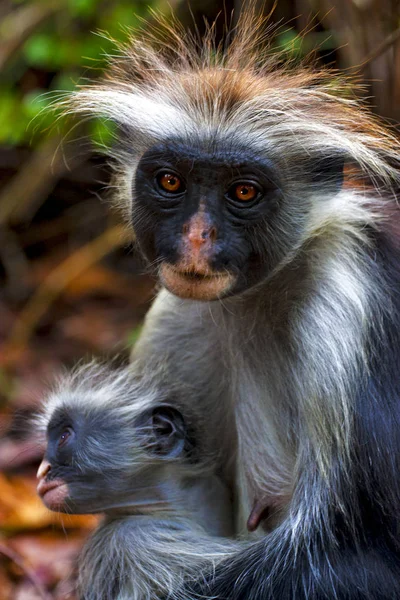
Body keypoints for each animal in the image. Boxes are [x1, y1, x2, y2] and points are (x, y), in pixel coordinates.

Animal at [69, 8, 400, 600]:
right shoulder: (177, 318)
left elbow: (351, 558)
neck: (259, 298)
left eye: (243, 192)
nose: (197, 239)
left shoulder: (347, 303)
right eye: (170, 181)